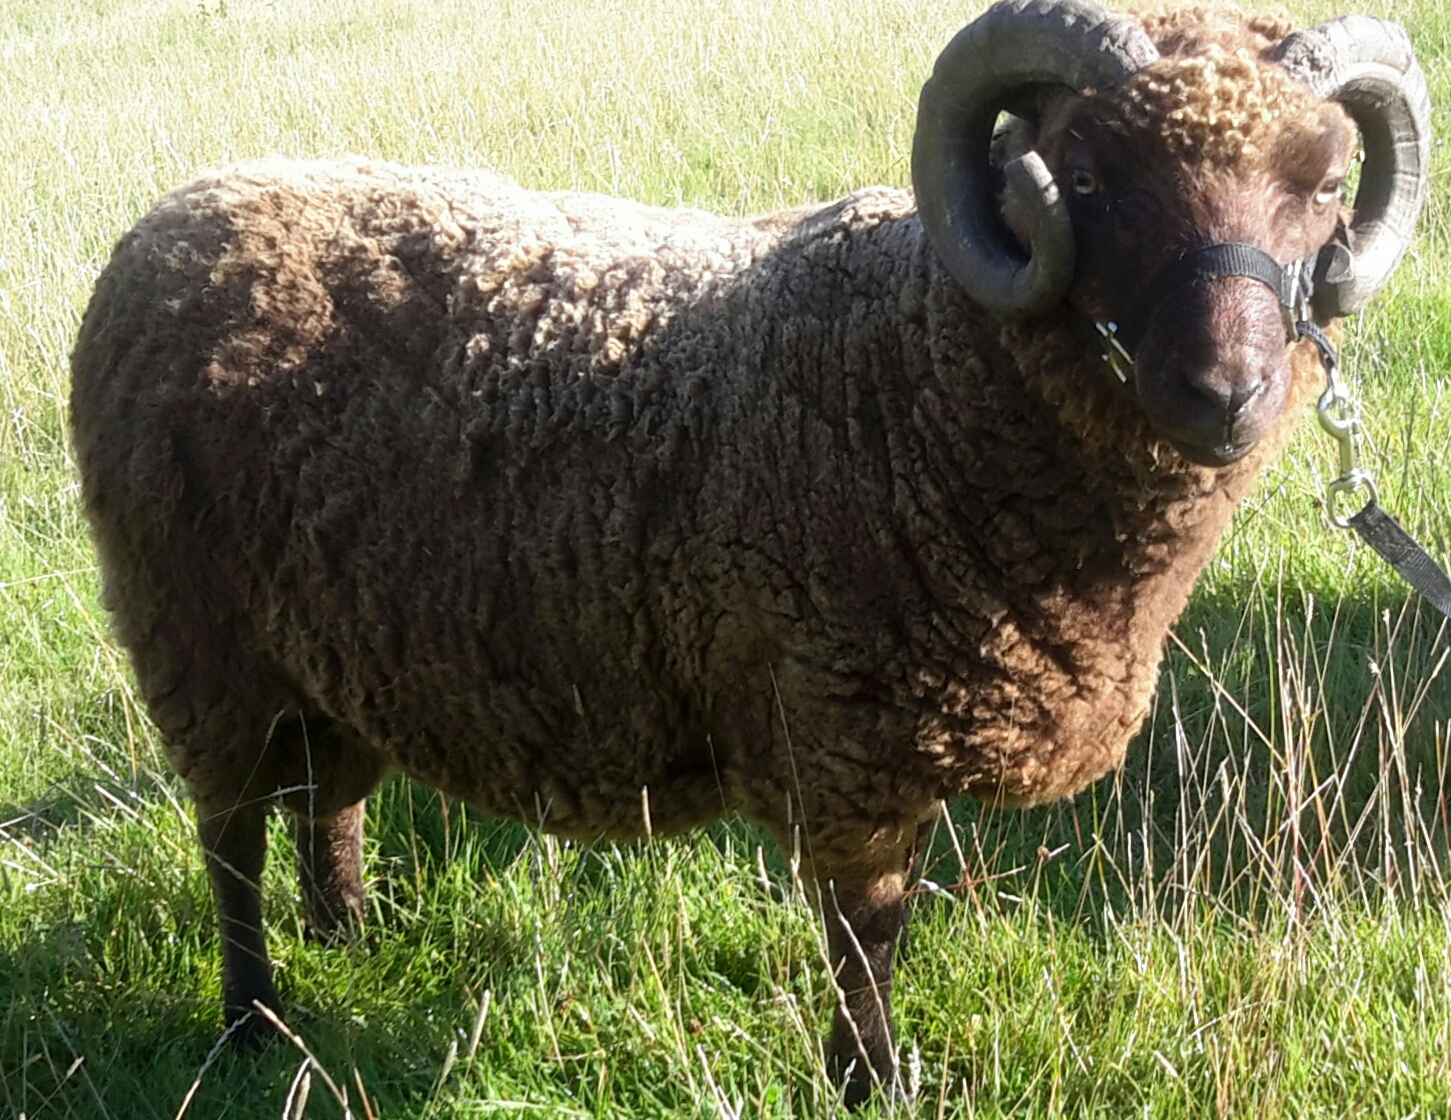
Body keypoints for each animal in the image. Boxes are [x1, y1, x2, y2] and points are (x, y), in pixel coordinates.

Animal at [68, 0, 1429, 1103]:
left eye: (1322, 184)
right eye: (1084, 175)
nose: (1226, 394)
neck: (918, 376)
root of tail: (175, 218)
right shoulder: (843, 735)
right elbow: (865, 935)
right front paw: (870, 1081)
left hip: (334, 643)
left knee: (327, 798)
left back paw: (347, 936)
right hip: (194, 637)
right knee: (231, 838)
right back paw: (254, 1022)